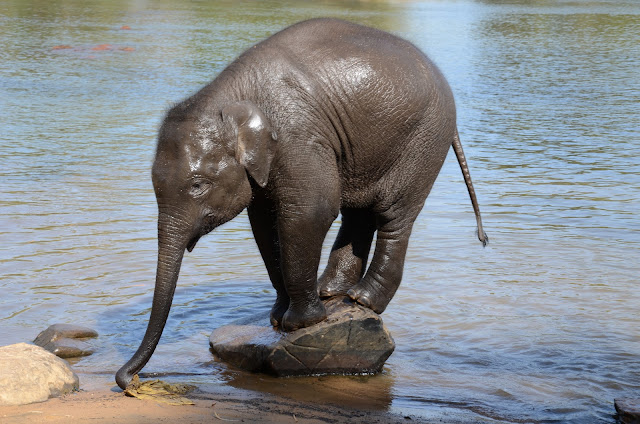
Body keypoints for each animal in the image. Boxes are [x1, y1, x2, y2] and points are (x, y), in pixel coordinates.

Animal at [116, 18, 484, 390]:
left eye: (197, 185)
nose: (128, 380)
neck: (232, 98)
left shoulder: (298, 137)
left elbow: (309, 213)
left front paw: (299, 324)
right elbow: (265, 224)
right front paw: (278, 319)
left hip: (423, 140)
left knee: (392, 216)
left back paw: (362, 299)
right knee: (359, 213)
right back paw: (331, 293)